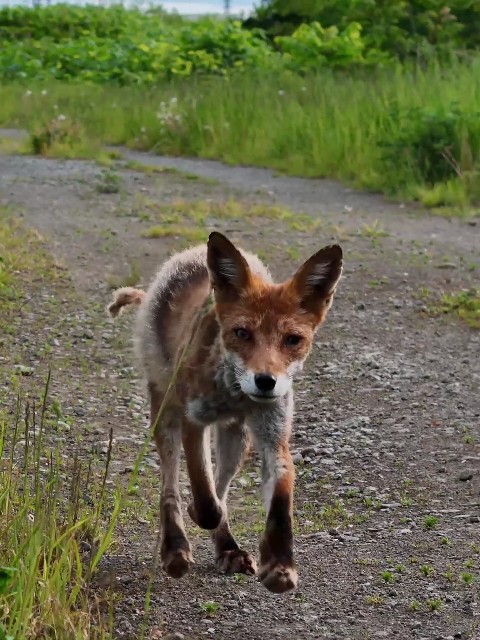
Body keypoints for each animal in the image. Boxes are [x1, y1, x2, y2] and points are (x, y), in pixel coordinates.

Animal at [107, 231, 344, 596]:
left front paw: (279, 564)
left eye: (293, 339)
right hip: (166, 413)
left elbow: (278, 499)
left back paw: (227, 547)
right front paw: (199, 518)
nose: (265, 381)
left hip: (238, 438)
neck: (234, 395)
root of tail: (188, 255)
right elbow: (203, 494)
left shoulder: (273, 435)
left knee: (222, 488)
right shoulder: (193, 421)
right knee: (171, 488)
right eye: (242, 333)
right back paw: (175, 548)